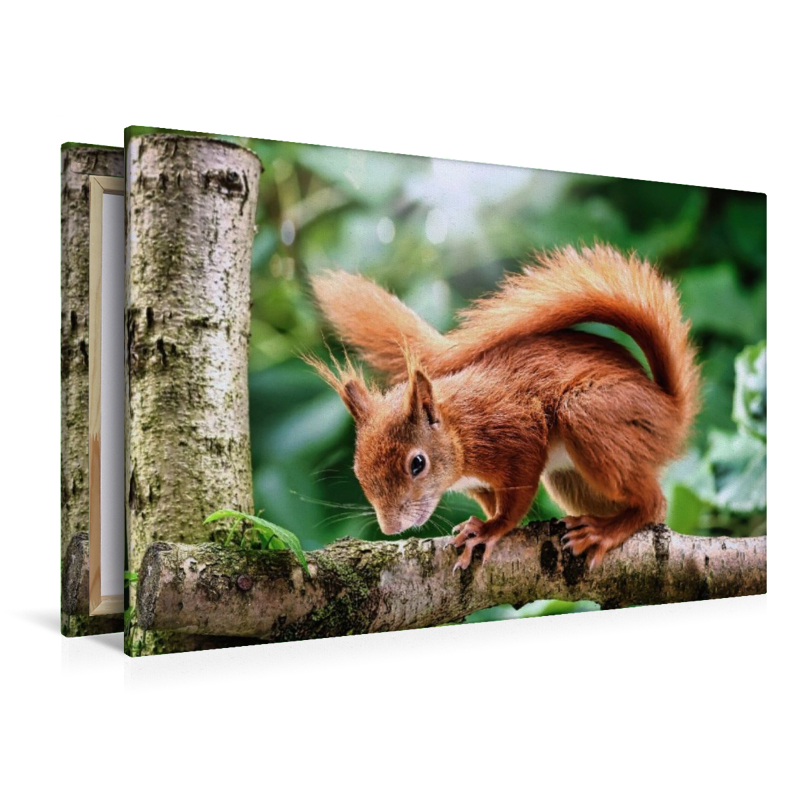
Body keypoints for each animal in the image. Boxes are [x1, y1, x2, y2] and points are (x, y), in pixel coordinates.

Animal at [306, 244, 700, 570]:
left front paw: (490, 529)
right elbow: (490, 500)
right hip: (572, 479)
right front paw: (476, 523)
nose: (390, 528)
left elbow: (516, 498)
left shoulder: (516, 435)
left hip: (589, 412)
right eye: (358, 471)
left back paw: (606, 531)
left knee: (653, 503)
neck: (460, 428)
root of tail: (671, 410)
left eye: (417, 464)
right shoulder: (479, 483)